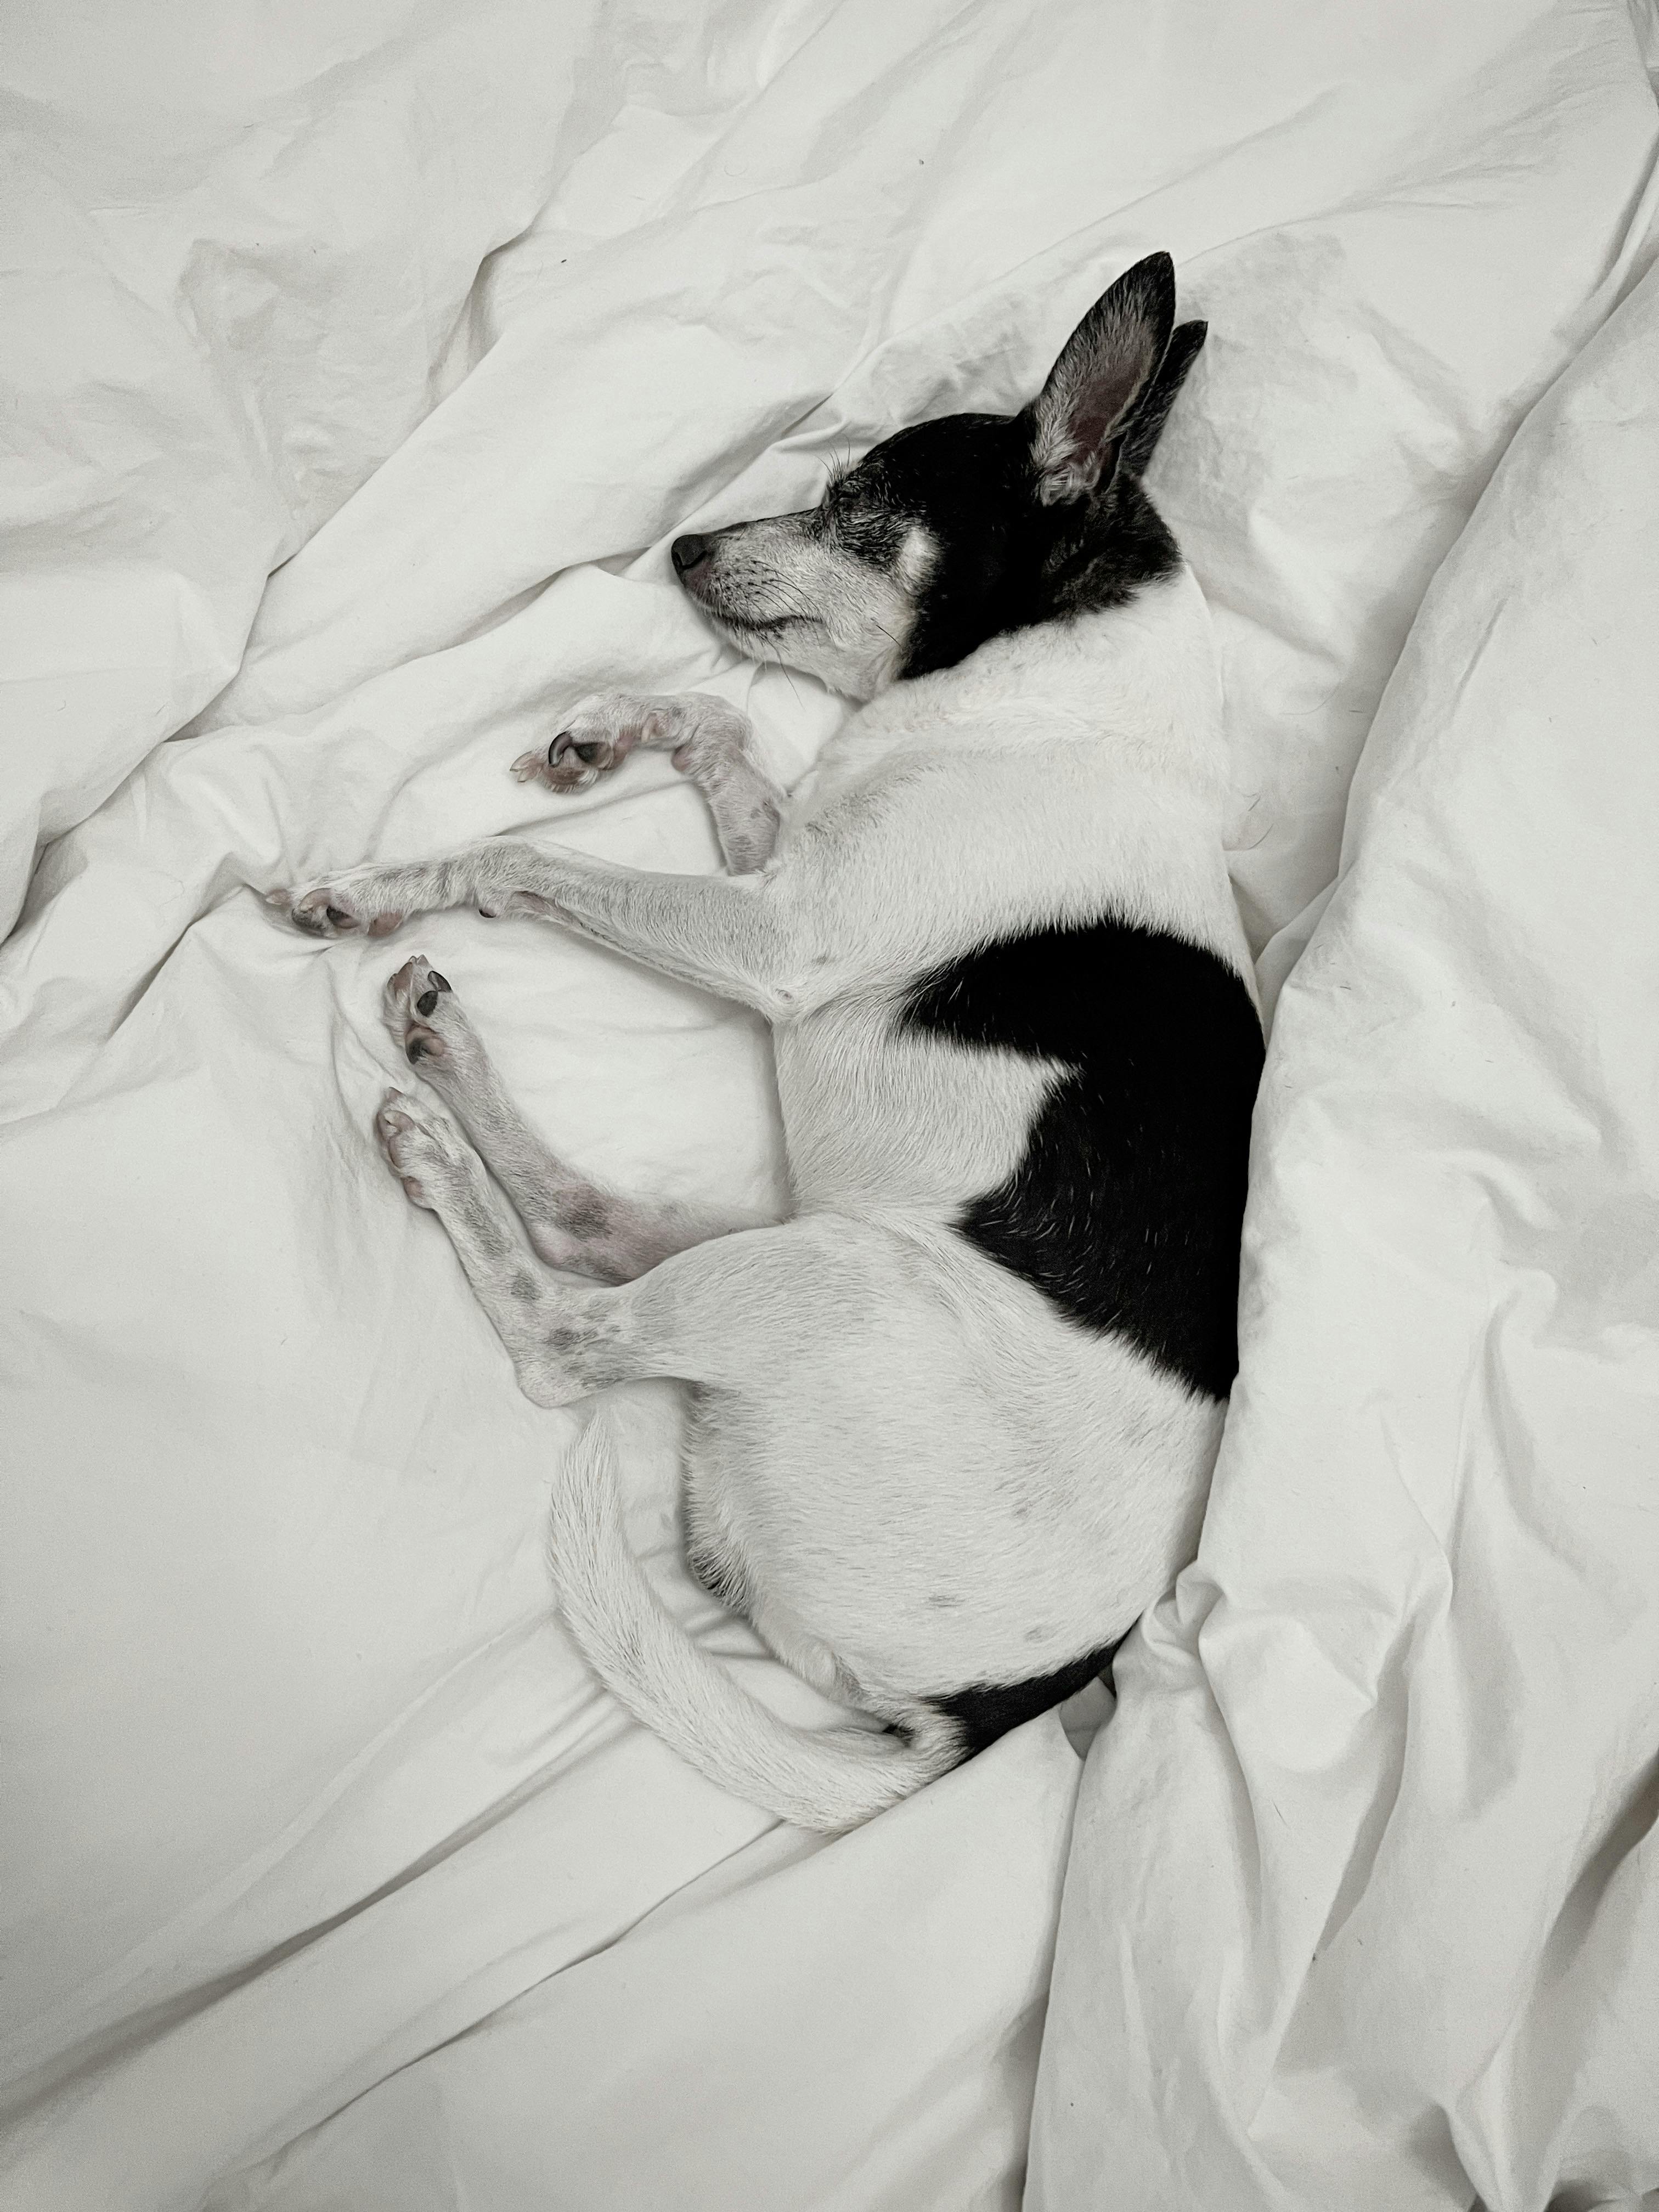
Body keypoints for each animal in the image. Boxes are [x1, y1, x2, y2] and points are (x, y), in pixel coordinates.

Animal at [269, 246, 1256, 1831]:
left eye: (858, 504)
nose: (682, 547)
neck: (1041, 694)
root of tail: (976, 1719)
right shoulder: (773, 878)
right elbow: (720, 736)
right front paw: (607, 730)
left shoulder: (777, 944)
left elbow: (526, 861)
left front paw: (382, 881)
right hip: (790, 1234)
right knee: (596, 1225)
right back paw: (449, 1061)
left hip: (824, 1277)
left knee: (569, 1338)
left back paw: (436, 1151)